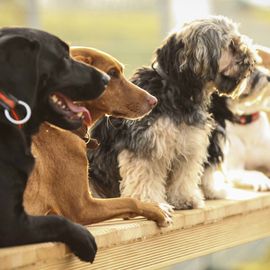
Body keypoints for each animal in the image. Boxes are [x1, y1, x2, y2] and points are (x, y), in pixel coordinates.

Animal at [88, 15, 255, 209]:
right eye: (231, 45)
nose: (252, 61)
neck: (177, 89)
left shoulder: (189, 145)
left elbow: (184, 177)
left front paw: (184, 198)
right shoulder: (146, 146)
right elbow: (145, 177)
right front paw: (150, 201)